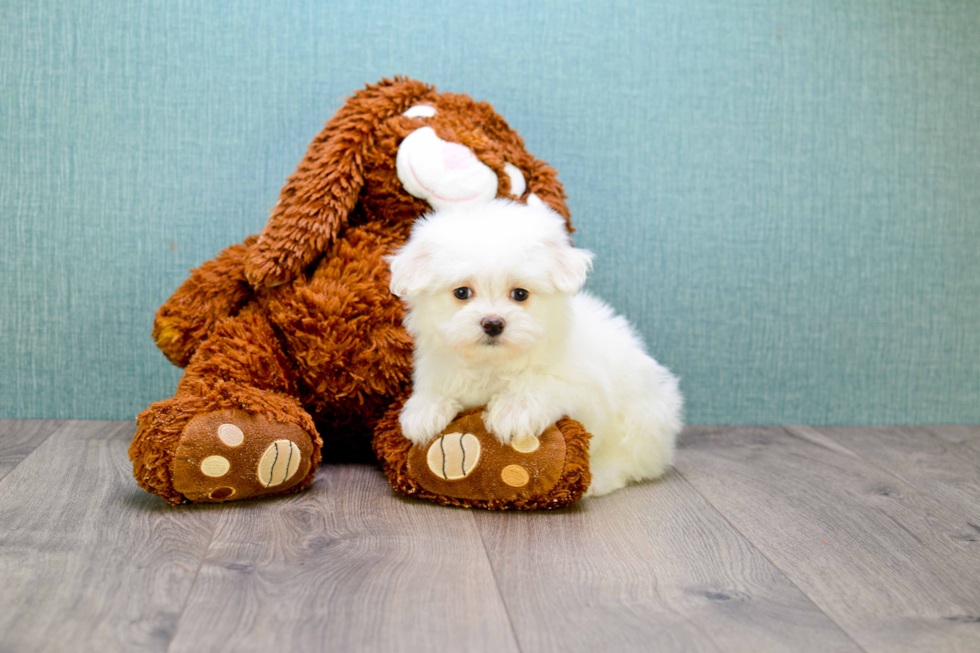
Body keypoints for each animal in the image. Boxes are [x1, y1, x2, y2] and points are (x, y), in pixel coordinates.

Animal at [384, 199, 680, 494]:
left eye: (520, 294)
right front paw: (424, 410)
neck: (494, 363)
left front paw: (515, 408)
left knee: (629, 461)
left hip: (641, 420)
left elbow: (546, 383)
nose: (493, 323)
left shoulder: (585, 389)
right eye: (462, 292)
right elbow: (438, 388)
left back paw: (600, 478)